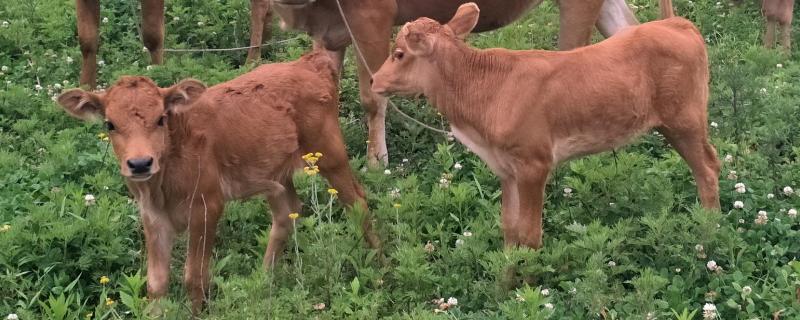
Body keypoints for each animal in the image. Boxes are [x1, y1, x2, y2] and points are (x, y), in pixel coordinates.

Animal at [57, 51, 382, 314]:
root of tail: (308, 63)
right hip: (274, 173)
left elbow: (194, 276)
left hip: (329, 153)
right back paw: (263, 278)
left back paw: (380, 266)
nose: (140, 164)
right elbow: (156, 283)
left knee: (357, 201)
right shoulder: (152, 216)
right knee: (287, 212)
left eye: (161, 118)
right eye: (110, 124)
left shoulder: (207, 206)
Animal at [372, 3, 720, 250]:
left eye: (399, 53)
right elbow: (510, 228)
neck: (486, 88)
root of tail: (677, 24)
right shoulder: (506, 168)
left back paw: (708, 230)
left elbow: (529, 233)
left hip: (685, 120)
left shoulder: (533, 164)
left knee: (707, 170)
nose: (375, 80)